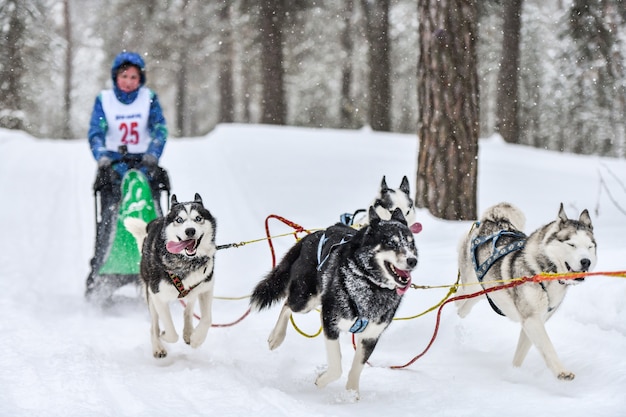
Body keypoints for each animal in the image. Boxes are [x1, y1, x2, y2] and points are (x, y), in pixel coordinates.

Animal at [124, 193, 217, 358]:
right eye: (179, 220)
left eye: (198, 218)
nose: (190, 231)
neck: (187, 262)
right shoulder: (157, 295)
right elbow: (171, 331)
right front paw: (165, 335)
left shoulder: (206, 288)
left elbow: (207, 319)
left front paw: (196, 339)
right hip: (149, 295)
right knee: (154, 325)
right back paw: (158, 346)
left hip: (193, 291)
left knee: (189, 308)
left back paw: (188, 332)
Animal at [247, 207, 414, 396]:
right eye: (391, 243)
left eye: (411, 244)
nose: (413, 260)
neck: (370, 284)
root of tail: (314, 235)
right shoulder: (329, 320)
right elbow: (336, 366)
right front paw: (321, 381)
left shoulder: (371, 336)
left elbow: (357, 367)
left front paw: (351, 393)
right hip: (306, 299)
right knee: (288, 304)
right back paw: (277, 337)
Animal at [454, 202, 596, 380]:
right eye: (571, 244)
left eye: (590, 246)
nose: (586, 262)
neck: (544, 273)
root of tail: (494, 220)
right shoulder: (531, 319)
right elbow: (548, 347)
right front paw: (561, 371)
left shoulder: (534, 321)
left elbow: (521, 354)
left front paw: (513, 374)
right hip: (471, 283)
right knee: (460, 296)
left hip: (487, 288)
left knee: (471, 300)